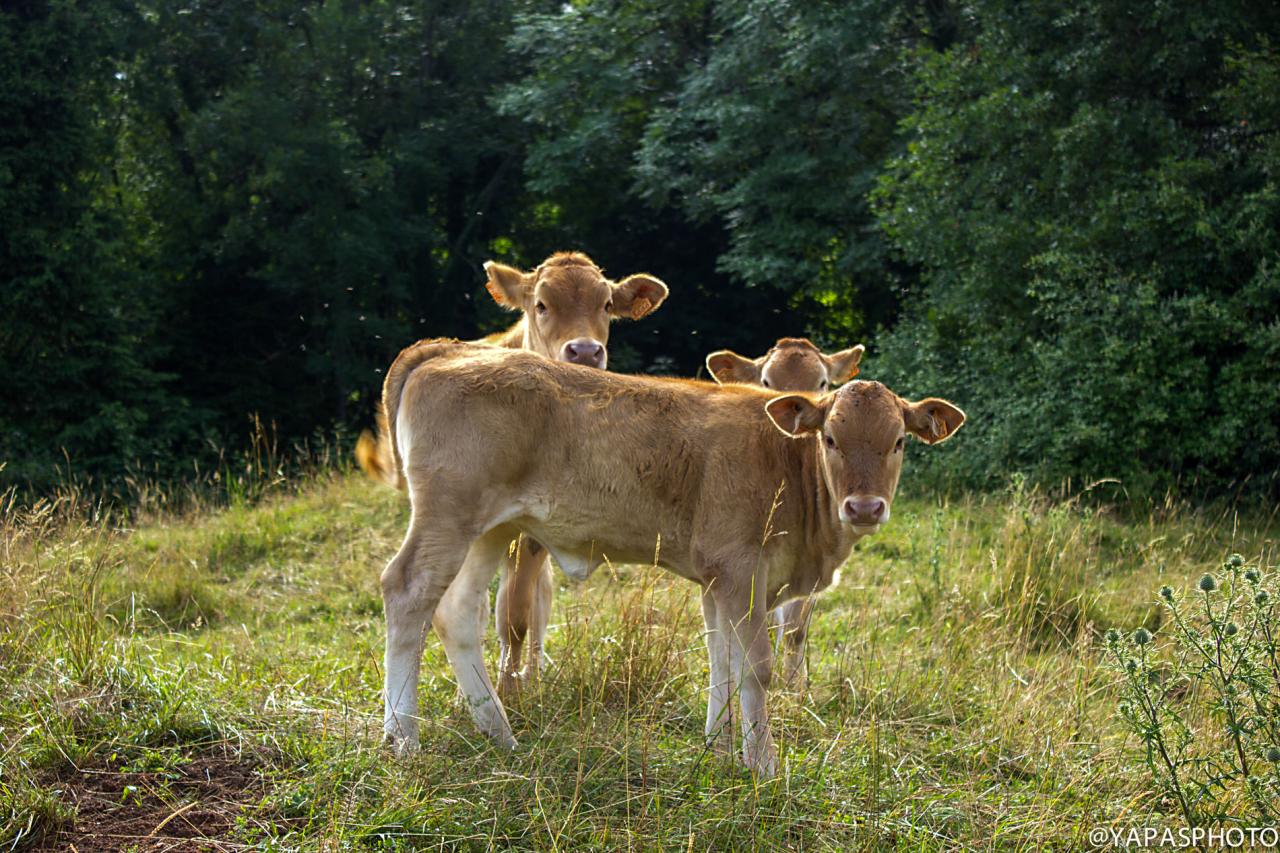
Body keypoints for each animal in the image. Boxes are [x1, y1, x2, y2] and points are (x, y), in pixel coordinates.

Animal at [353, 249, 665, 696]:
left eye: (607, 305)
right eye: (541, 305)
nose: (586, 352)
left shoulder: (534, 536)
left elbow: (518, 612)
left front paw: (512, 684)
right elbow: (497, 610)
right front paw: (499, 688)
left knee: (532, 600)